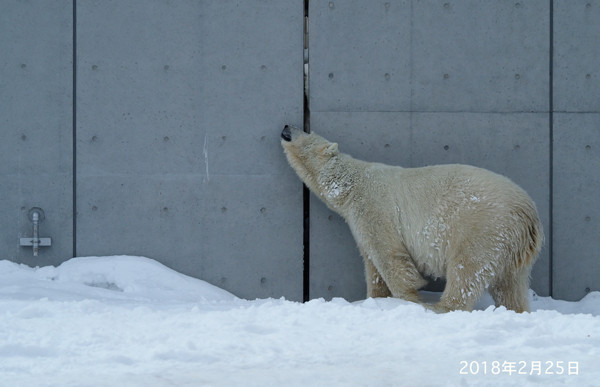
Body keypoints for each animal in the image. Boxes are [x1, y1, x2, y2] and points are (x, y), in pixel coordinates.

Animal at [282, 126, 544, 314]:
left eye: (306, 131)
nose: (286, 126)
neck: (351, 183)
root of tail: (528, 214)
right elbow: (372, 265)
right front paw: (375, 298)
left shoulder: (374, 207)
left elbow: (389, 256)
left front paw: (409, 298)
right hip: (512, 247)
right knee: (510, 285)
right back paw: (516, 310)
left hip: (483, 226)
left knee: (467, 270)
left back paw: (440, 307)